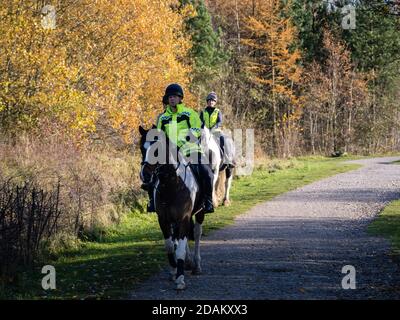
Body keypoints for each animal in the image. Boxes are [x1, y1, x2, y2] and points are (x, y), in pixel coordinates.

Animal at [139, 126, 205, 292]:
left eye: (157, 150)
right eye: (141, 148)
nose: (145, 175)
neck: (172, 185)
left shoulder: (184, 218)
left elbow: (179, 248)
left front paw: (180, 279)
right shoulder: (163, 219)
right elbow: (170, 246)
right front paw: (174, 271)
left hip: (200, 213)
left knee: (197, 233)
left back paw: (196, 265)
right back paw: (188, 262)